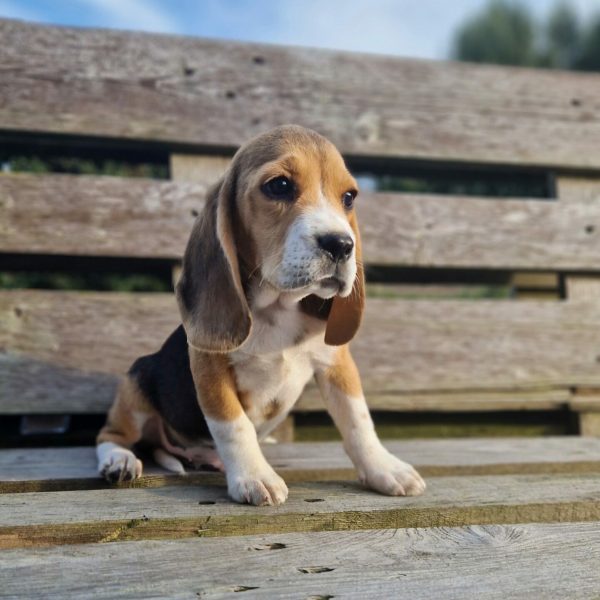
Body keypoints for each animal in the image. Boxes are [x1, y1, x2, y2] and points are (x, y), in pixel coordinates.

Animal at [96, 126, 424, 506]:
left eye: (349, 197)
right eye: (279, 186)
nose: (342, 245)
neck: (278, 308)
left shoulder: (337, 363)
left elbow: (358, 420)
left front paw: (384, 468)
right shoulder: (209, 366)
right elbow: (233, 424)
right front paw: (254, 476)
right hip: (135, 383)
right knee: (109, 435)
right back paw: (119, 460)